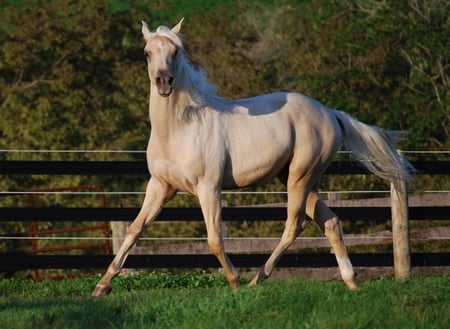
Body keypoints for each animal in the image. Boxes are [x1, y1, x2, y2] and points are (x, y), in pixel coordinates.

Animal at [92, 18, 414, 294]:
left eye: (175, 51)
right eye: (147, 53)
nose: (164, 82)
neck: (179, 129)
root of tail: (330, 113)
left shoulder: (208, 188)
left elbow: (214, 239)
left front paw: (234, 283)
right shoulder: (160, 186)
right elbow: (134, 229)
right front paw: (102, 286)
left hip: (299, 178)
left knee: (294, 226)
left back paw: (255, 280)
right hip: (301, 180)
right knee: (331, 222)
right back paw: (351, 282)